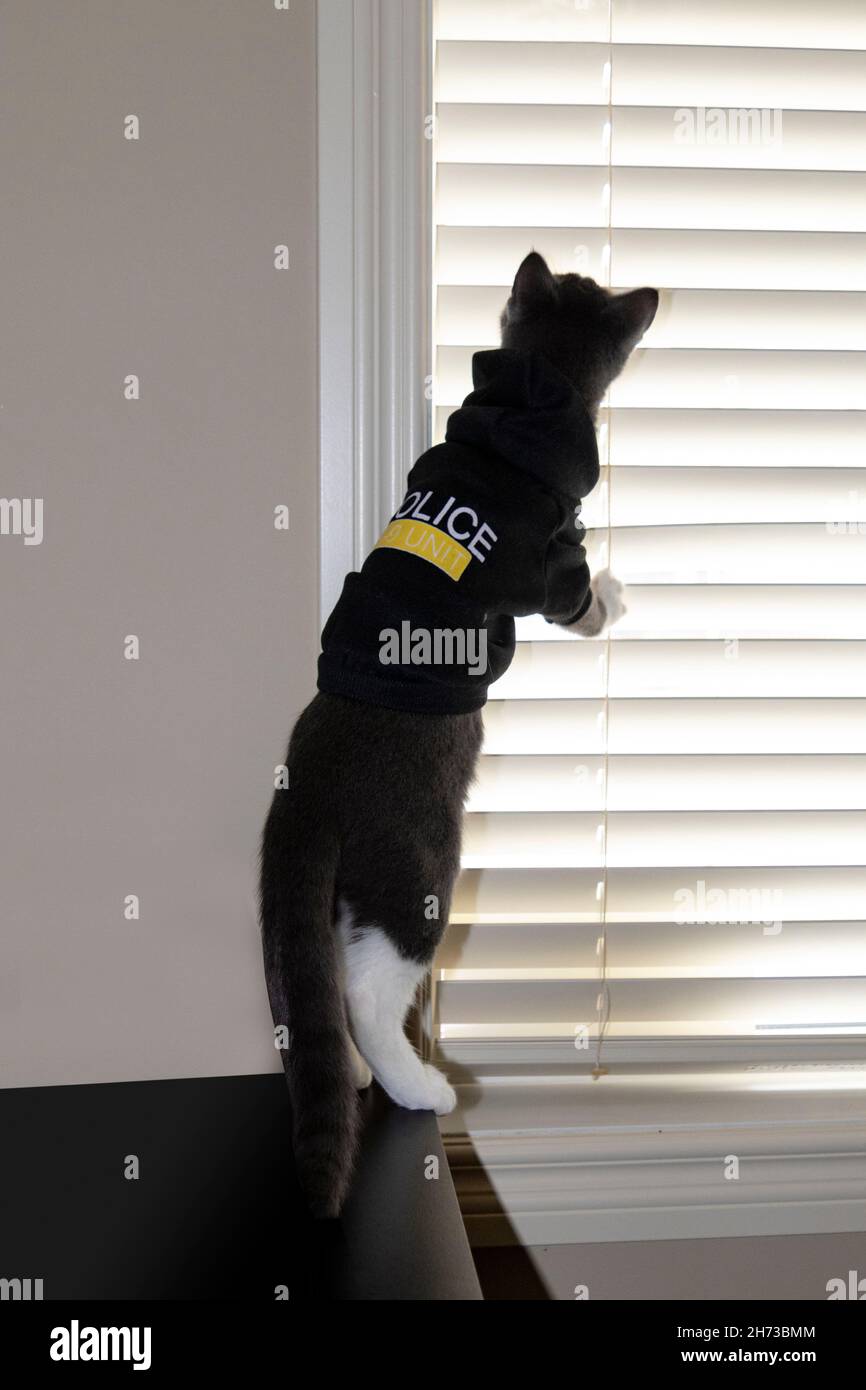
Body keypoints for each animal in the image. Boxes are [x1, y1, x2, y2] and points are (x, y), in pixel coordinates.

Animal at [261, 252, 661, 1217]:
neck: (525, 403)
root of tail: (306, 779)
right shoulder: (547, 562)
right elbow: (573, 596)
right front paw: (611, 596)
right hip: (420, 862)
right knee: (369, 986)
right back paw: (416, 1084)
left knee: (326, 971)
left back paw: (354, 1073)